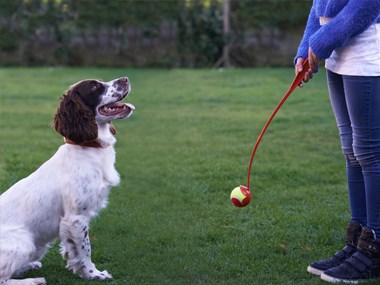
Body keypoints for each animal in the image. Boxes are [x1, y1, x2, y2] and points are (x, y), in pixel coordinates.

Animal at [0, 76, 135, 282]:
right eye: (94, 86)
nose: (125, 79)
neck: (87, 148)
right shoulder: (76, 218)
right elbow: (86, 249)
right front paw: (94, 274)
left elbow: (73, 250)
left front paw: (78, 269)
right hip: (25, 243)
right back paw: (34, 281)